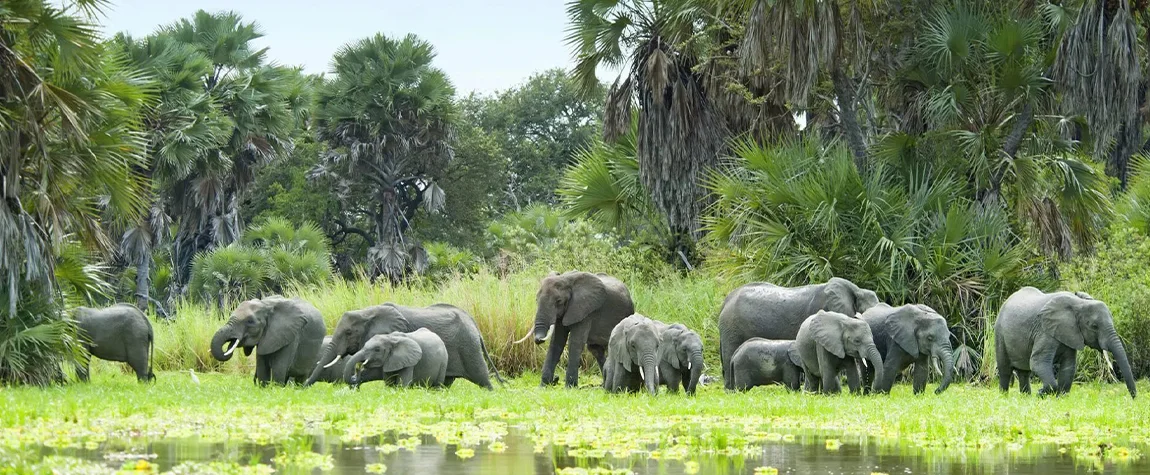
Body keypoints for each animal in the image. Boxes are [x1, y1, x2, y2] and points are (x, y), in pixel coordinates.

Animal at [305, 301, 503, 386]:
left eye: (348, 333)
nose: (304, 386)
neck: (368, 312)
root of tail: (474, 325)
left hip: (468, 346)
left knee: (482, 378)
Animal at [993, 286, 1136, 397]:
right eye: (1094, 326)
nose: (1133, 398)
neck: (1079, 303)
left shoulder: (1070, 332)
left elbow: (1069, 365)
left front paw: (1059, 398)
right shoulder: (1045, 330)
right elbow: (1038, 362)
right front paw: (1041, 393)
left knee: (1024, 373)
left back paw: (1026, 398)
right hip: (999, 334)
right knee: (1005, 370)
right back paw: (1004, 397)